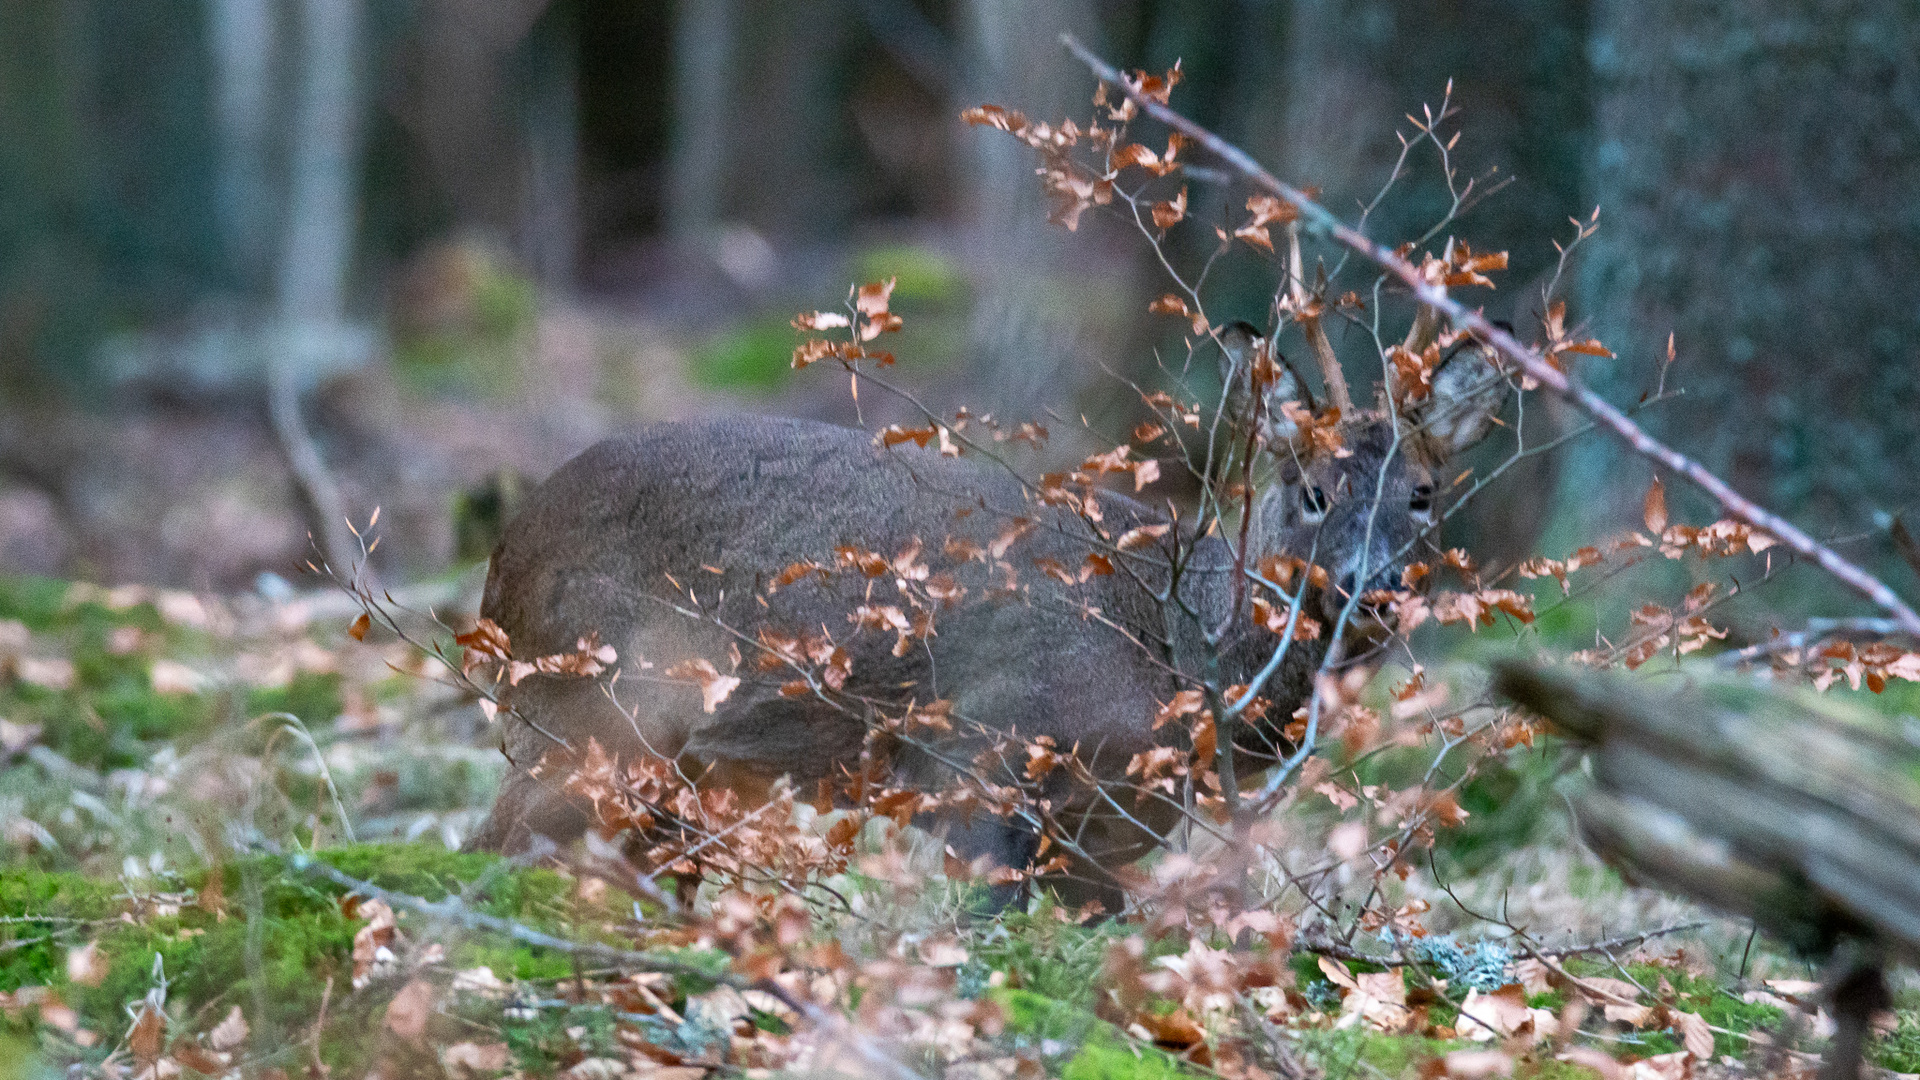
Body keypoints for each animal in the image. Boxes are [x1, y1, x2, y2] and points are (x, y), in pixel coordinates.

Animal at [468, 322, 1512, 903]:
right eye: (1311, 490)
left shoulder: (1105, 833)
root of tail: (500, 558)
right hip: (594, 708)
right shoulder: (984, 754)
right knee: (498, 843)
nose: (1370, 585)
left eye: (1423, 493)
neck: (1177, 651)